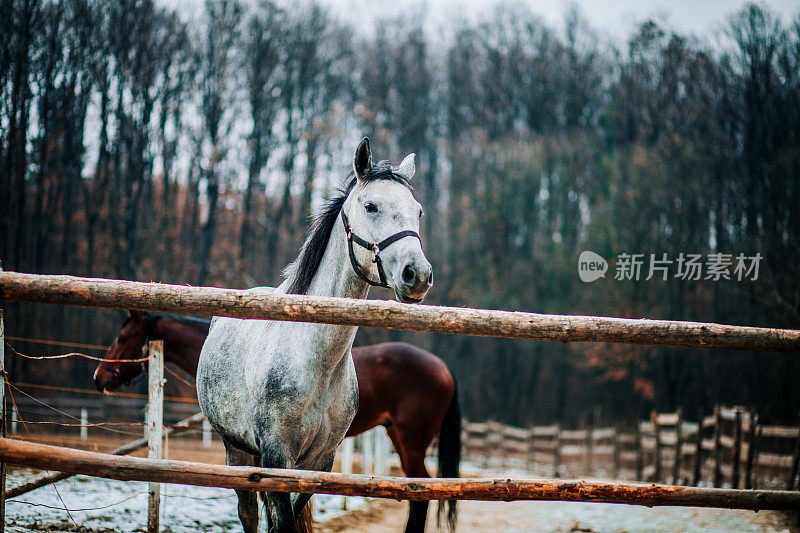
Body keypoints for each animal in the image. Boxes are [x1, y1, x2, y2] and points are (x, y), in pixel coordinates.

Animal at [196, 138, 432, 532]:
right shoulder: (276, 458)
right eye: (371, 206)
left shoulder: (319, 461)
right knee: (247, 513)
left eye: (418, 211)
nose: (418, 274)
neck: (316, 362)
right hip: (237, 450)